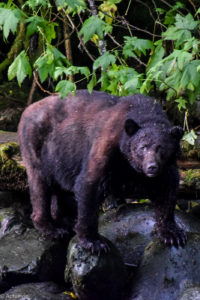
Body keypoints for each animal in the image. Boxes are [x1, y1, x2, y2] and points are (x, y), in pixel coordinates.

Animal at [18, 90, 187, 252]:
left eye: (161, 148)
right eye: (142, 147)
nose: (152, 167)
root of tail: (26, 110)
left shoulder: (165, 169)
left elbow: (168, 190)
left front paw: (172, 234)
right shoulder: (107, 146)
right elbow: (89, 184)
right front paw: (93, 242)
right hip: (38, 149)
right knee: (40, 186)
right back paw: (51, 229)